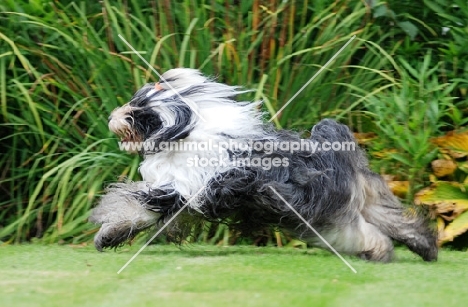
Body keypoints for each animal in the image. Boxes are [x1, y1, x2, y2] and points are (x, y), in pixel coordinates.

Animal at [90, 68, 438, 264]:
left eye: (140, 113)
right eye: (135, 102)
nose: (113, 116)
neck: (184, 134)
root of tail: (337, 157)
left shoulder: (177, 192)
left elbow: (134, 207)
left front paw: (106, 235)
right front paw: (110, 236)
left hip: (327, 217)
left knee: (364, 235)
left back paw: (379, 253)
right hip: (367, 199)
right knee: (399, 222)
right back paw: (427, 249)